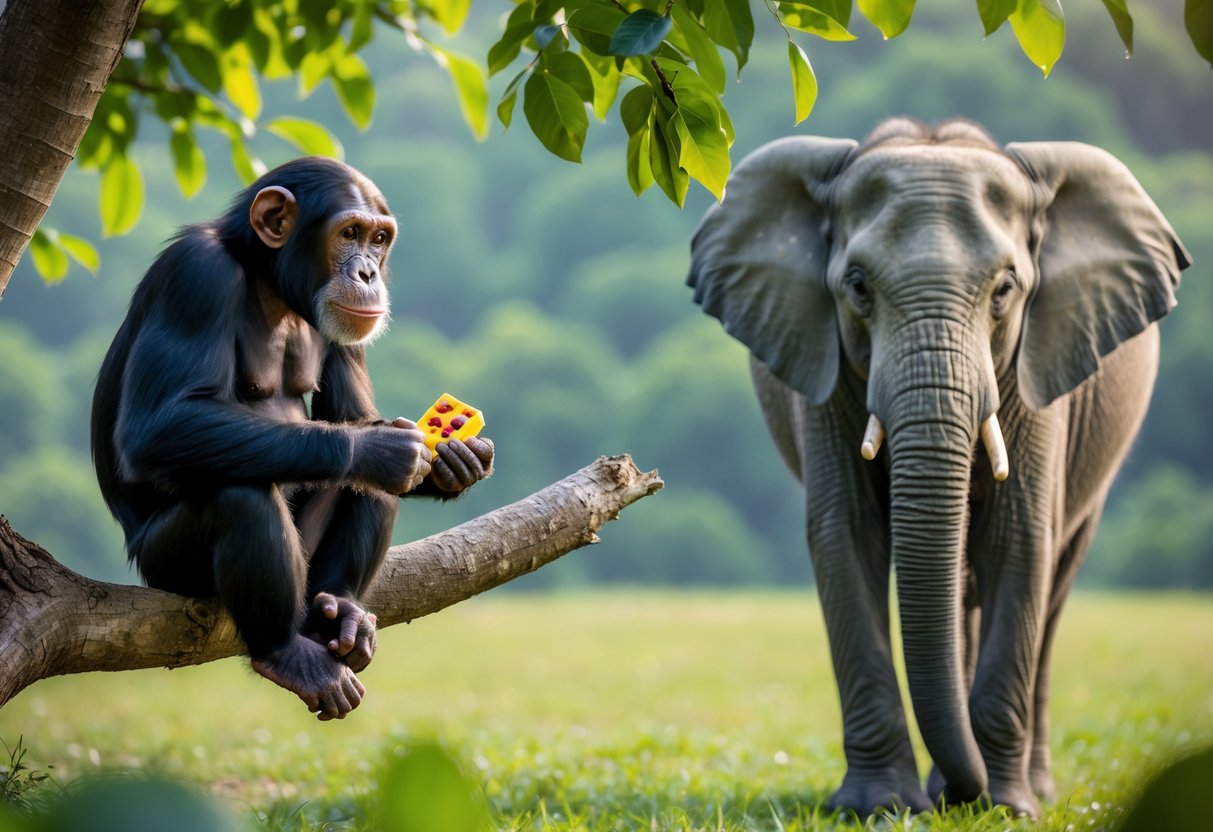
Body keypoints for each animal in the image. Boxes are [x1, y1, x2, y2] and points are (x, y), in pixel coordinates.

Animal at [687, 118, 1191, 818]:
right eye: (858, 286)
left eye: (1005, 290)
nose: (960, 794)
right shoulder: (822, 370)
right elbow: (847, 536)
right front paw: (877, 808)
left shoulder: (1039, 374)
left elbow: (1017, 540)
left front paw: (1003, 809)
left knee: (1053, 580)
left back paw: (1025, 788)